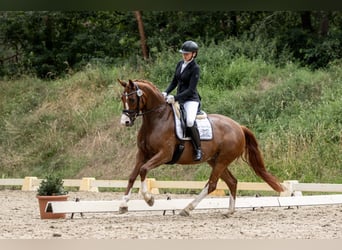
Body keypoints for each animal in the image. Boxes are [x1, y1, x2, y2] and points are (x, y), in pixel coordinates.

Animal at [119, 79, 284, 216]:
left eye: (132, 99)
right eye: (122, 99)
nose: (125, 122)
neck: (157, 119)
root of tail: (239, 127)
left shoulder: (164, 154)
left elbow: (143, 170)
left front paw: (149, 199)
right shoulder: (142, 154)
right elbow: (132, 176)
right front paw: (123, 205)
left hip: (222, 161)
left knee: (212, 185)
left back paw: (187, 209)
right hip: (215, 160)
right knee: (231, 181)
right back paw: (229, 211)